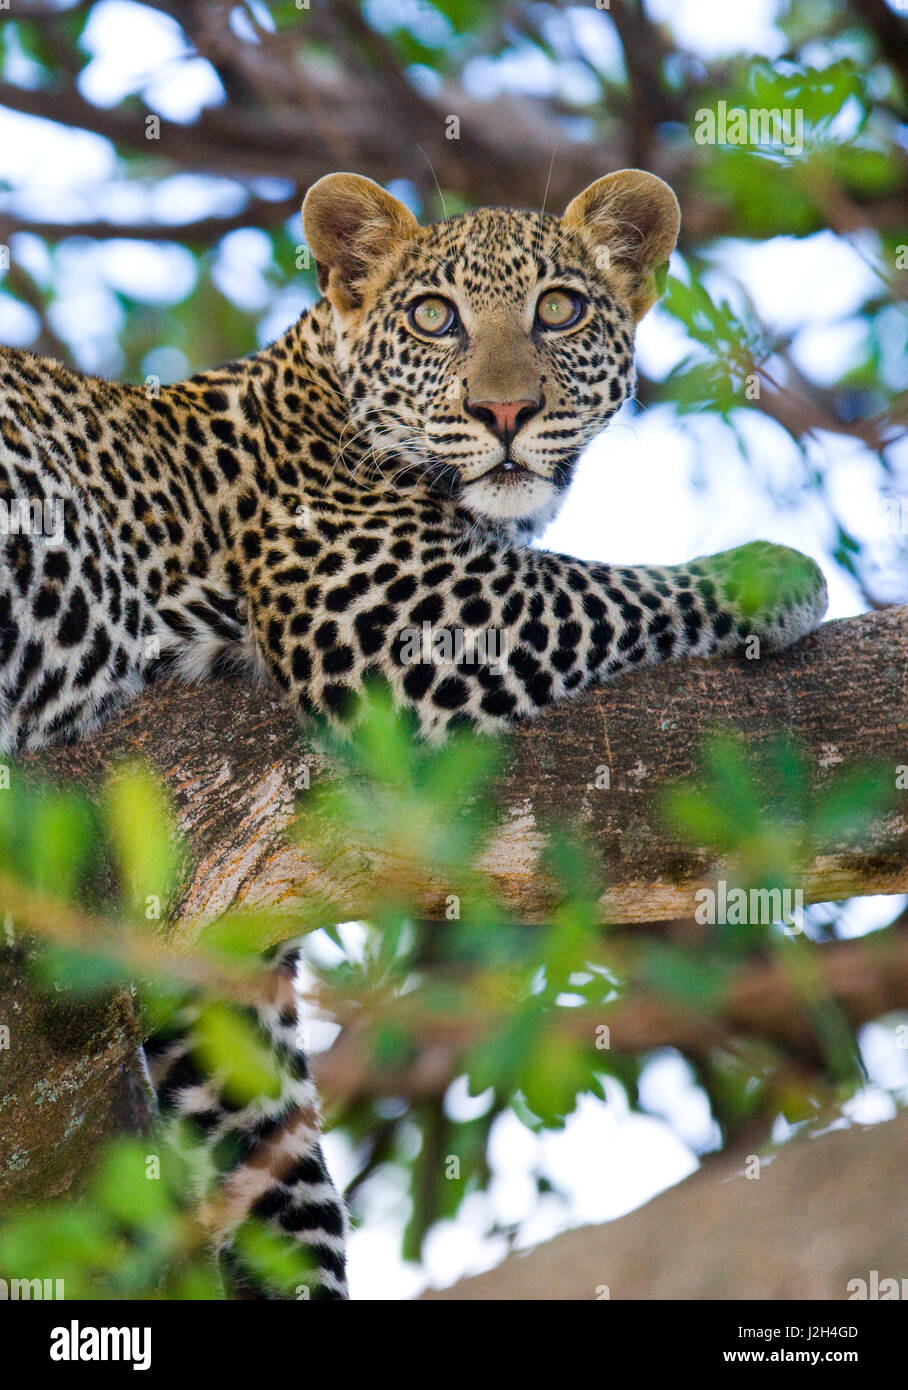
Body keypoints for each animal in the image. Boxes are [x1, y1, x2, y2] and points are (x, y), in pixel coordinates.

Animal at [0, 168, 823, 1295]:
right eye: (435, 318)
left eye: (558, 309)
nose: (505, 411)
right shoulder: (397, 609)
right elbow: (605, 585)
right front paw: (774, 573)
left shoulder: (224, 967)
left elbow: (283, 1183)